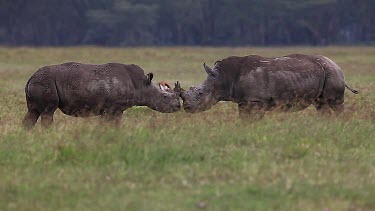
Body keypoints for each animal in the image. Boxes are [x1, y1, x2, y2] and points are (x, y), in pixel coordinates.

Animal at [23, 62, 182, 129]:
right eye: (165, 98)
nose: (178, 107)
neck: (142, 85)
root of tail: (30, 79)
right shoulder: (113, 107)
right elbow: (111, 123)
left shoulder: (112, 109)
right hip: (46, 82)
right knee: (48, 111)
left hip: (39, 83)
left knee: (33, 111)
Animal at [181, 53, 360, 118]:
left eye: (200, 94)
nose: (187, 108)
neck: (223, 77)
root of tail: (337, 66)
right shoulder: (245, 100)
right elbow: (244, 118)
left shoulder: (257, 100)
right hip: (326, 73)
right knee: (321, 104)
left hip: (332, 73)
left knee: (334, 103)